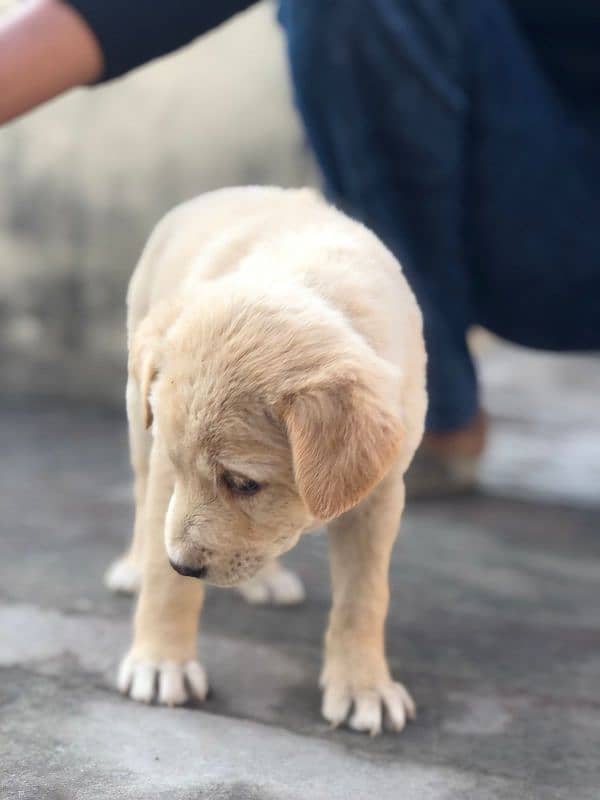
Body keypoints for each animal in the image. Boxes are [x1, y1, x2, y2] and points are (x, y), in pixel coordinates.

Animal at [111, 184, 426, 736]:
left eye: (243, 484)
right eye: (180, 464)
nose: (183, 564)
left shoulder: (381, 495)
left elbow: (364, 597)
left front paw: (364, 687)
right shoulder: (167, 472)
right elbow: (166, 583)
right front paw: (161, 663)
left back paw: (267, 579)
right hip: (136, 413)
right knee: (139, 494)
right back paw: (134, 568)